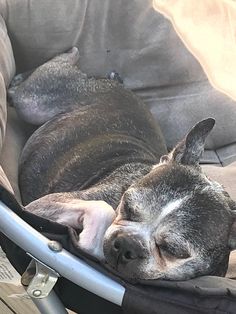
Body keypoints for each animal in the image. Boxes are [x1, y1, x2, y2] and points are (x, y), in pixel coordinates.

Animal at [7, 47, 236, 282]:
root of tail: (114, 85)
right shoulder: (44, 204)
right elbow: (102, 208)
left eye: (173, 250)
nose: (128, 244)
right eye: (127, 206)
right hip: (34, 101)